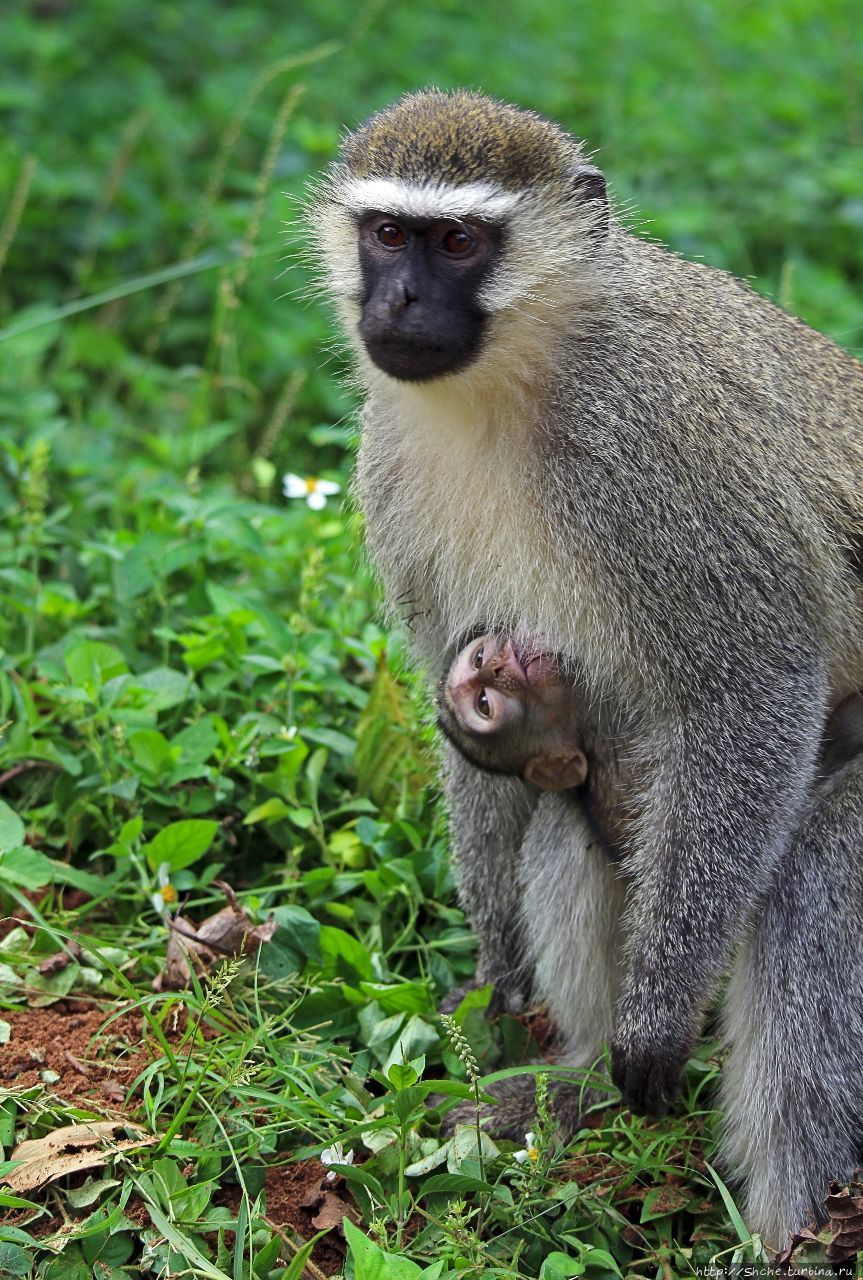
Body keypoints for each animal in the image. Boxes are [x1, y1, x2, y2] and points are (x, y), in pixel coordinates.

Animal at [311, 87, 863, 1239]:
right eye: (385, 232)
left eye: (458, 242)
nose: (400, 299)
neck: (514, 376)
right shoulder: (388, 454)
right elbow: (464, 717)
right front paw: (494, 977)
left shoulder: (652, 443)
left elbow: (753, 685)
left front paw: (651, 1022)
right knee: (568, 825)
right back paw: (571, 1089)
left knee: (808, 882)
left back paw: (791, 1230)